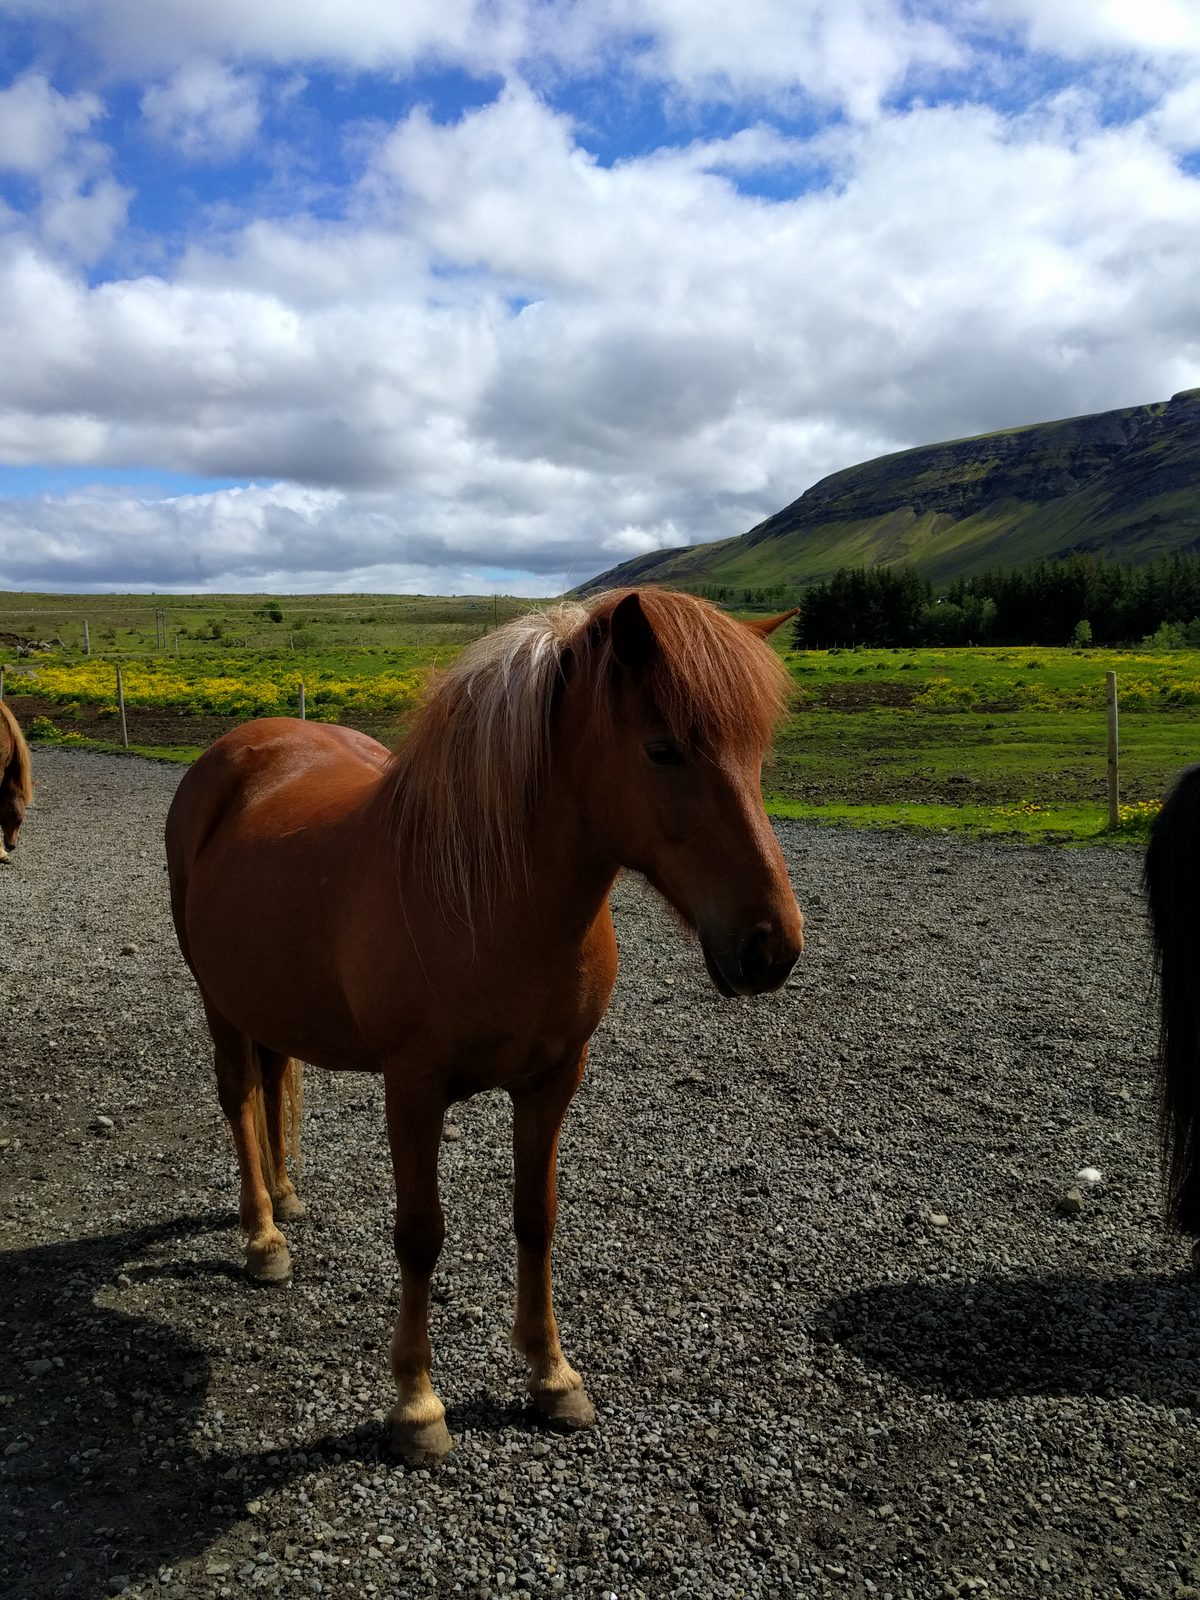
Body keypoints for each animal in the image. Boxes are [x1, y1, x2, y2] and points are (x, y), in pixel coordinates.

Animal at [165, 587, 804, 1465]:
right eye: (663, 749)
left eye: (758, 752)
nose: (771, 947)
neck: (490, 896)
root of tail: (234, 751)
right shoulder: (413, 1088)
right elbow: (420, 1234)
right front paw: (416, 1405)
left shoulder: (553, 1079)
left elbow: (537, 1219)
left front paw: (552, 1376)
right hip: (218, 1000)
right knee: (239, 1099)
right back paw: (263, 1238)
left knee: (268, 1084)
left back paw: (287, 1199)